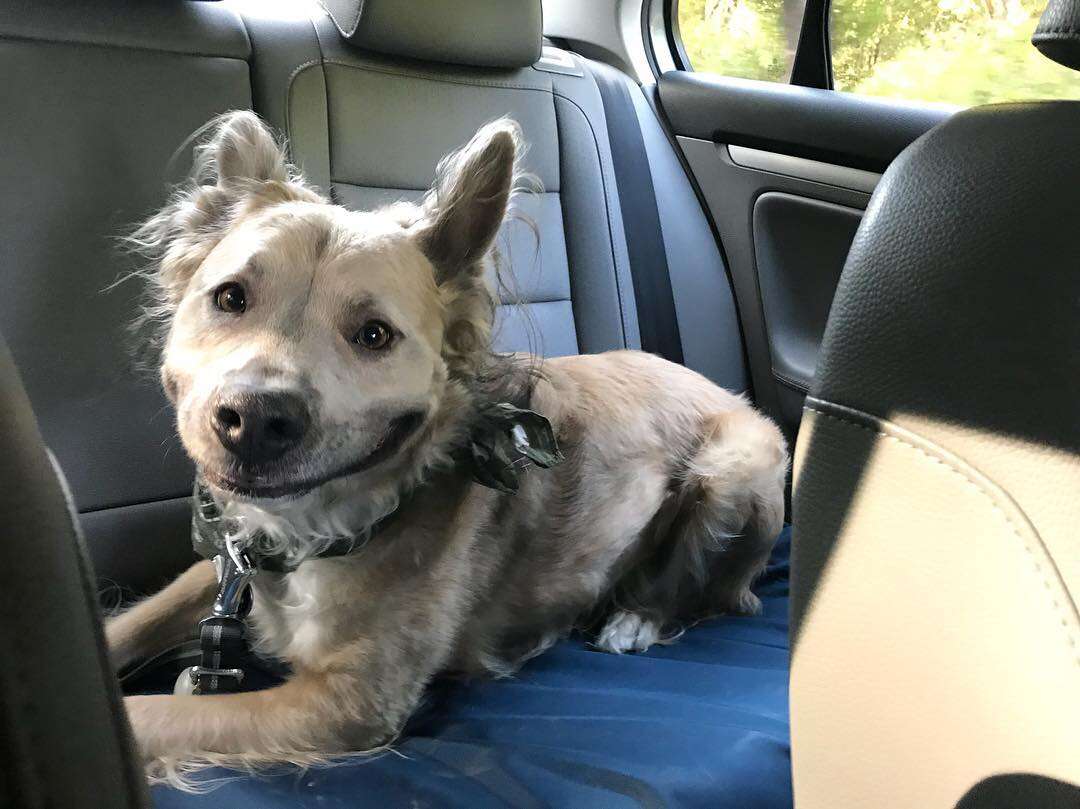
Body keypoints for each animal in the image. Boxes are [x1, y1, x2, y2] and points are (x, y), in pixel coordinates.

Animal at [105, 111, 790, 777]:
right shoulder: (225, 566)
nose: (252, 420)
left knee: (710, 592)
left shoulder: (350, 702)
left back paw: (635, 620)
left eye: (374, 334)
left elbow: (147, 717)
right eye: (230, 297)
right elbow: (136, 617)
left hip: (733, 469)